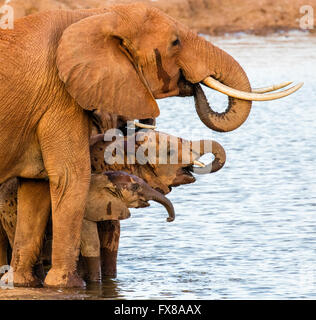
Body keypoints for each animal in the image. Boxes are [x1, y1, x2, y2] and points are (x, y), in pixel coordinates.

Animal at [0, 171, 175, 282]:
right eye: (135, 187)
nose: (168, 219)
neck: (102, 178)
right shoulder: (84, 211)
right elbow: (91, 244)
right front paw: (95, 281)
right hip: (11, 212)